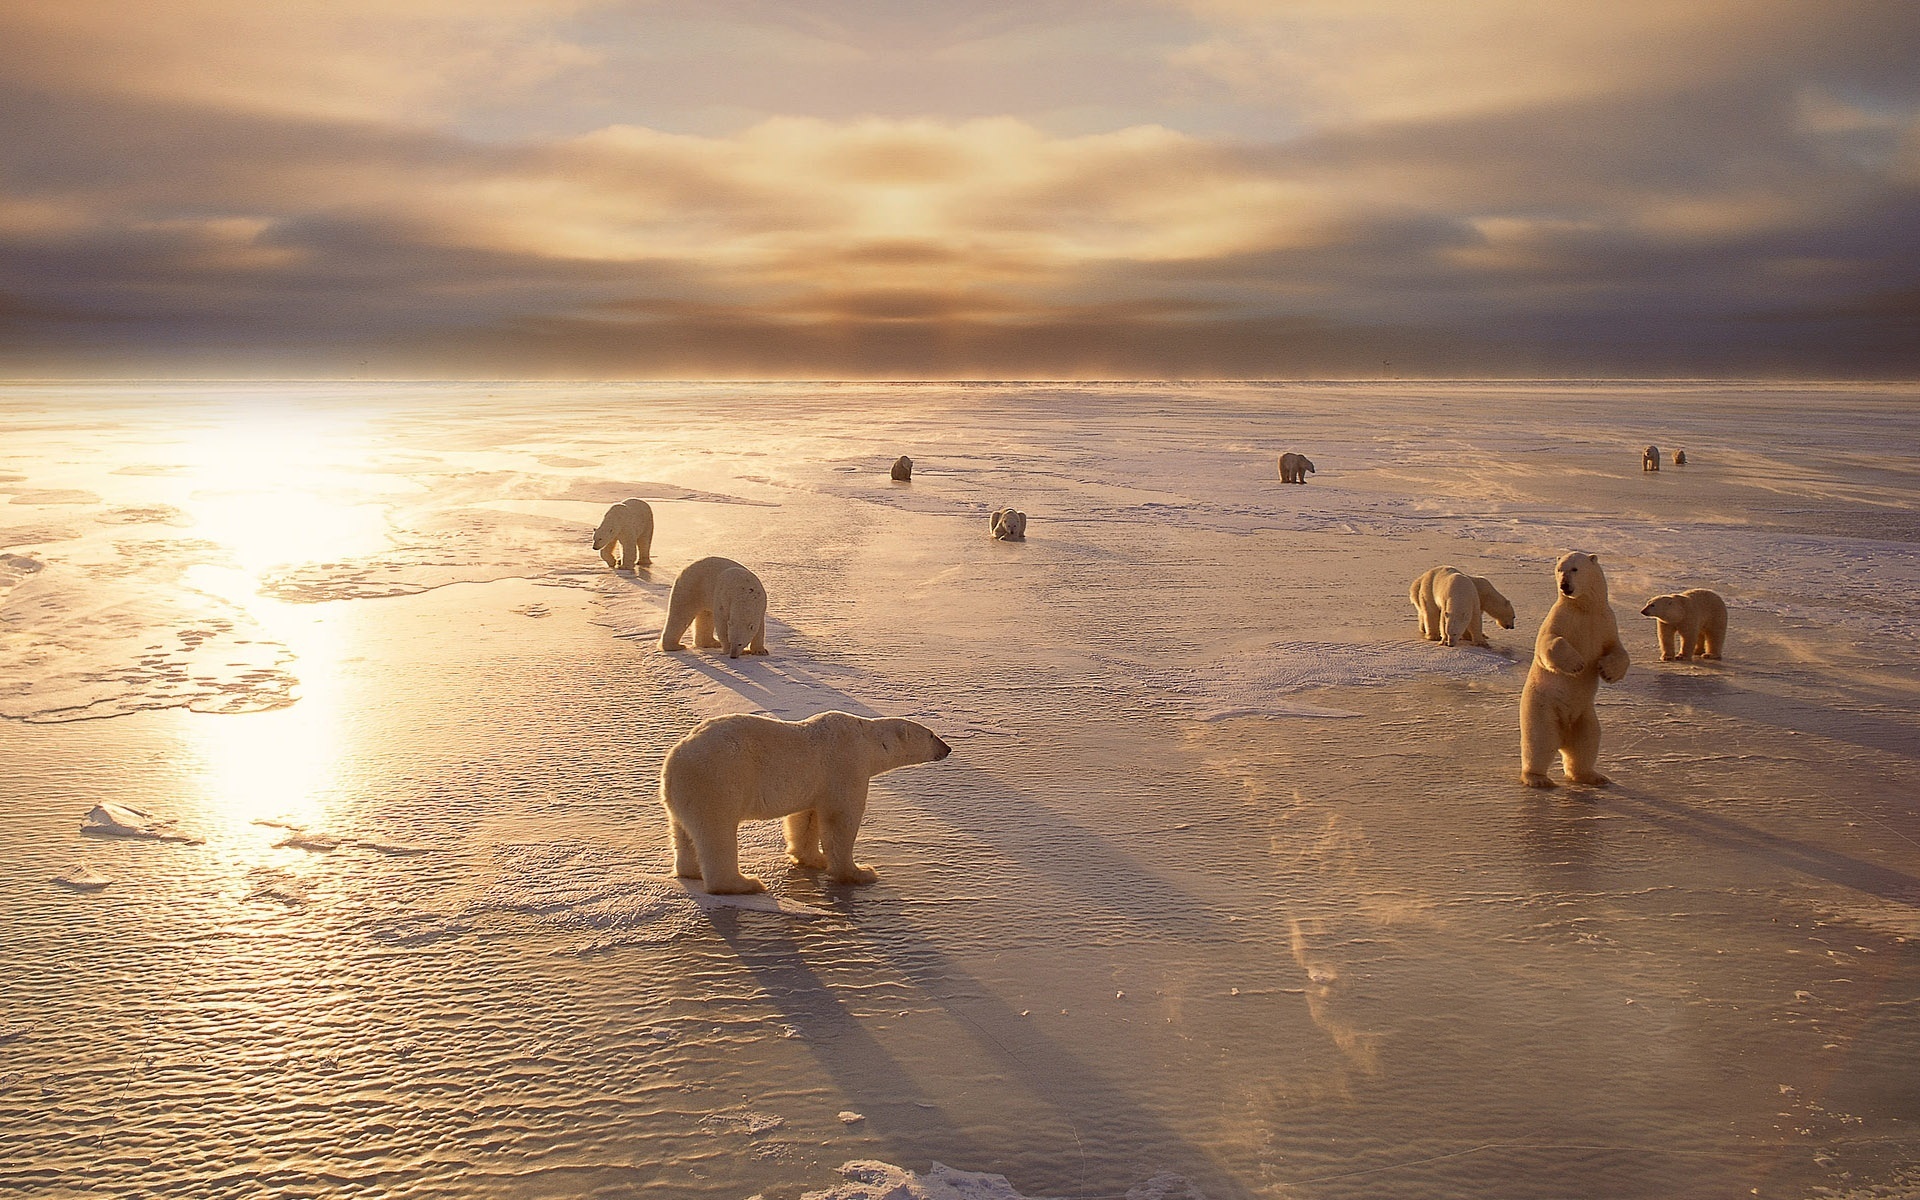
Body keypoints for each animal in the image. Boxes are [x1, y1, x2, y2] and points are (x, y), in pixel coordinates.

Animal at [660, 710, 952, 890]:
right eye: (931, 735)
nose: (947, 748)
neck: (867, 739)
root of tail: (675, 760)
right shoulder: (846, 765)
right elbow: (841, 821)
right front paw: (860, 872)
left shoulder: (814, 783)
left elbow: (806, 818)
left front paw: (813, 859)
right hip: (718, 782)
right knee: (717, 833)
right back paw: (744, 884)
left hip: (684, 795)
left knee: (682, 832)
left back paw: (689, 871)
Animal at [1520, 549, 1628, 787]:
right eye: (1559, 569)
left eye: (1575, 569)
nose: (1564, 585)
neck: (1584, 608)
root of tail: (1564, 736)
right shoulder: (1561, 617)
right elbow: (1549, 642)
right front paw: (1577, 664)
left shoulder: (1606, 622)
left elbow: (1618, 650)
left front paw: (1607, 670)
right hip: (1542, 708)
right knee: (1540, 741)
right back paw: (1537, 778)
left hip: (1584, 715)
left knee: (1586, 742)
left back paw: (1592, 776)